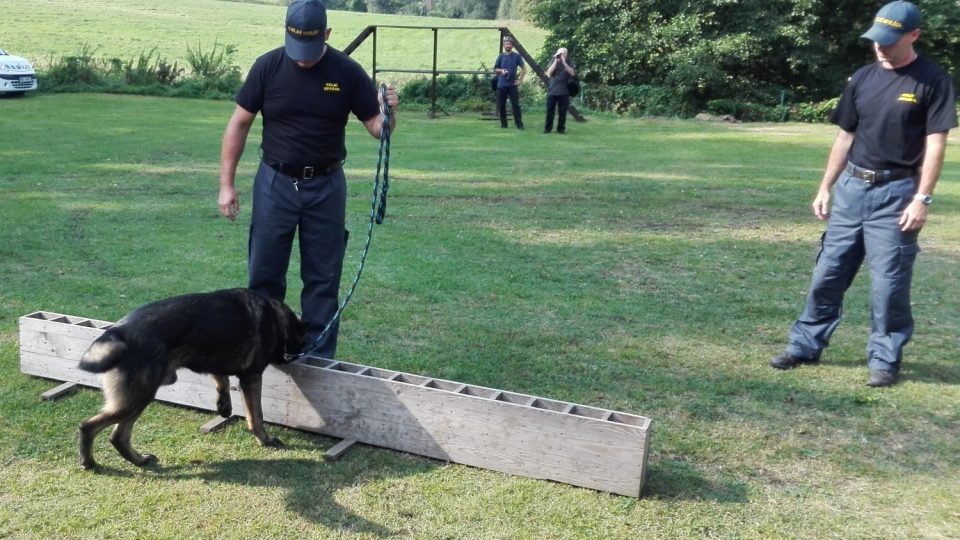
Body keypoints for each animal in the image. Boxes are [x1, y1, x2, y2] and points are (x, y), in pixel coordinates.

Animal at [78, 288, 308, 470]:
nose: (298, 355)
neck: (275, 316)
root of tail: (119, 332)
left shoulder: (217, 359)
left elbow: (222, 381)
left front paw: (224, 407)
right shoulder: (251, 377)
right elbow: (256, 416)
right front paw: (265, 440)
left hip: (138, 398)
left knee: (118, 436)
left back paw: (140, 460)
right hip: (138, 397)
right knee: (89, 426)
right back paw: (89, 462)